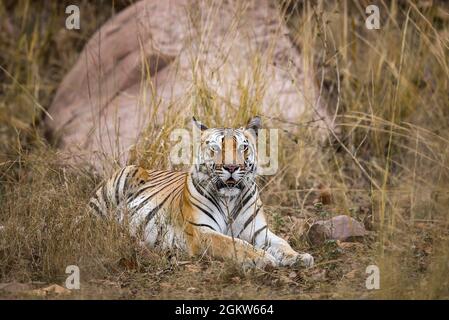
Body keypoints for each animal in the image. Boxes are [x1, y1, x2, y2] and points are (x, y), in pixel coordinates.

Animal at [87, 116, 312, 268]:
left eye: (243, 147)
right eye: (215, 148)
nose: (231, 167)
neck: (229, 200)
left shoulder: (258, 231)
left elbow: (282, 242)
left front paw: (299, 256)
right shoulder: (201, 231)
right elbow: (235, 244)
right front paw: (262, 258)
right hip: (122, 179)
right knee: (94, 227)